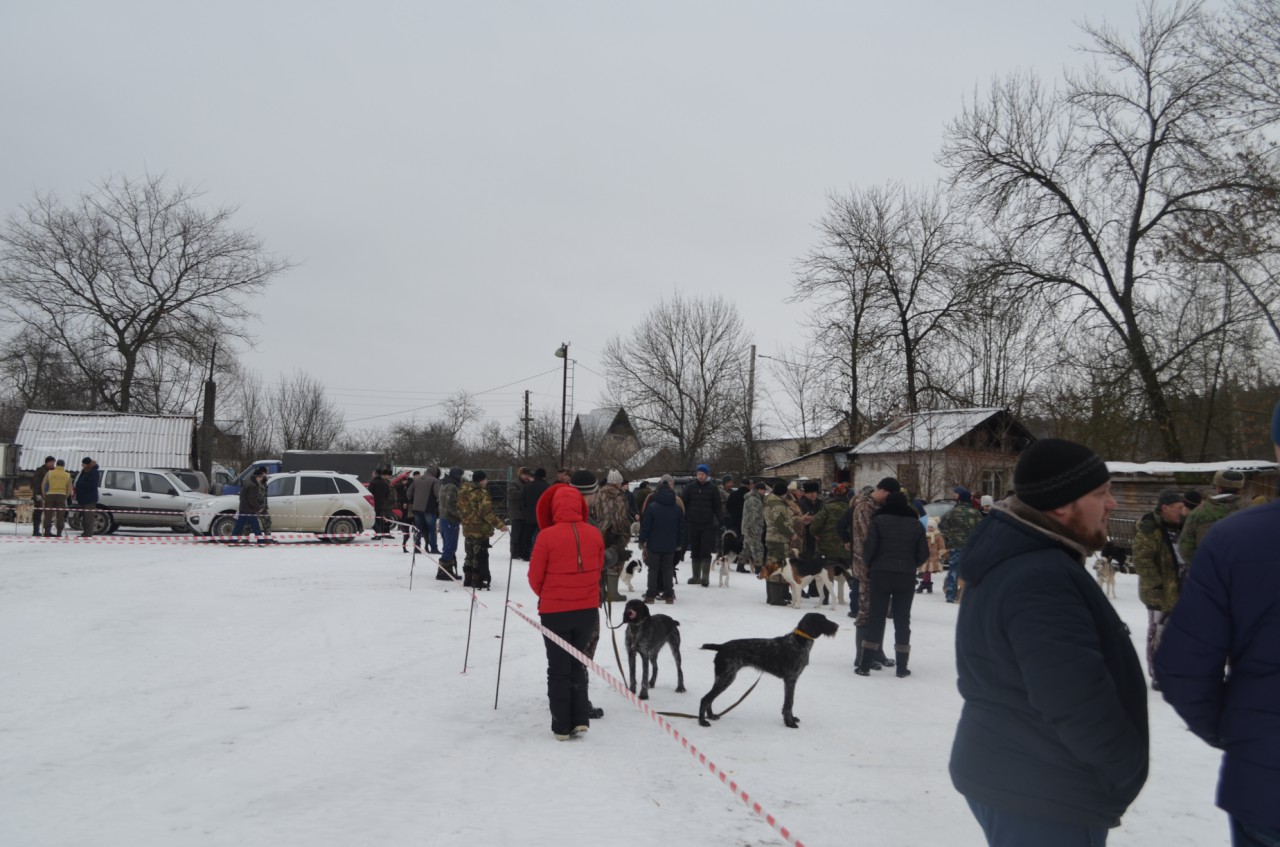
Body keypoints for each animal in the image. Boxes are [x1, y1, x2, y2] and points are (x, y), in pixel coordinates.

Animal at [698, 612, 839, 728]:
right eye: (823, 620)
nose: (837, 625)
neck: (799, 642)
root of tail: (721, 646)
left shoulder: (790, 681)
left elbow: (789, 703)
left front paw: (791, 718)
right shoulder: (790, 679)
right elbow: (789, 703)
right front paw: (789, 722)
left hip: (721, 677)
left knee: (710, 698)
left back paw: (711, 716)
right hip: (726, 677)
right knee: (705, 699)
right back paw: (702, 721)